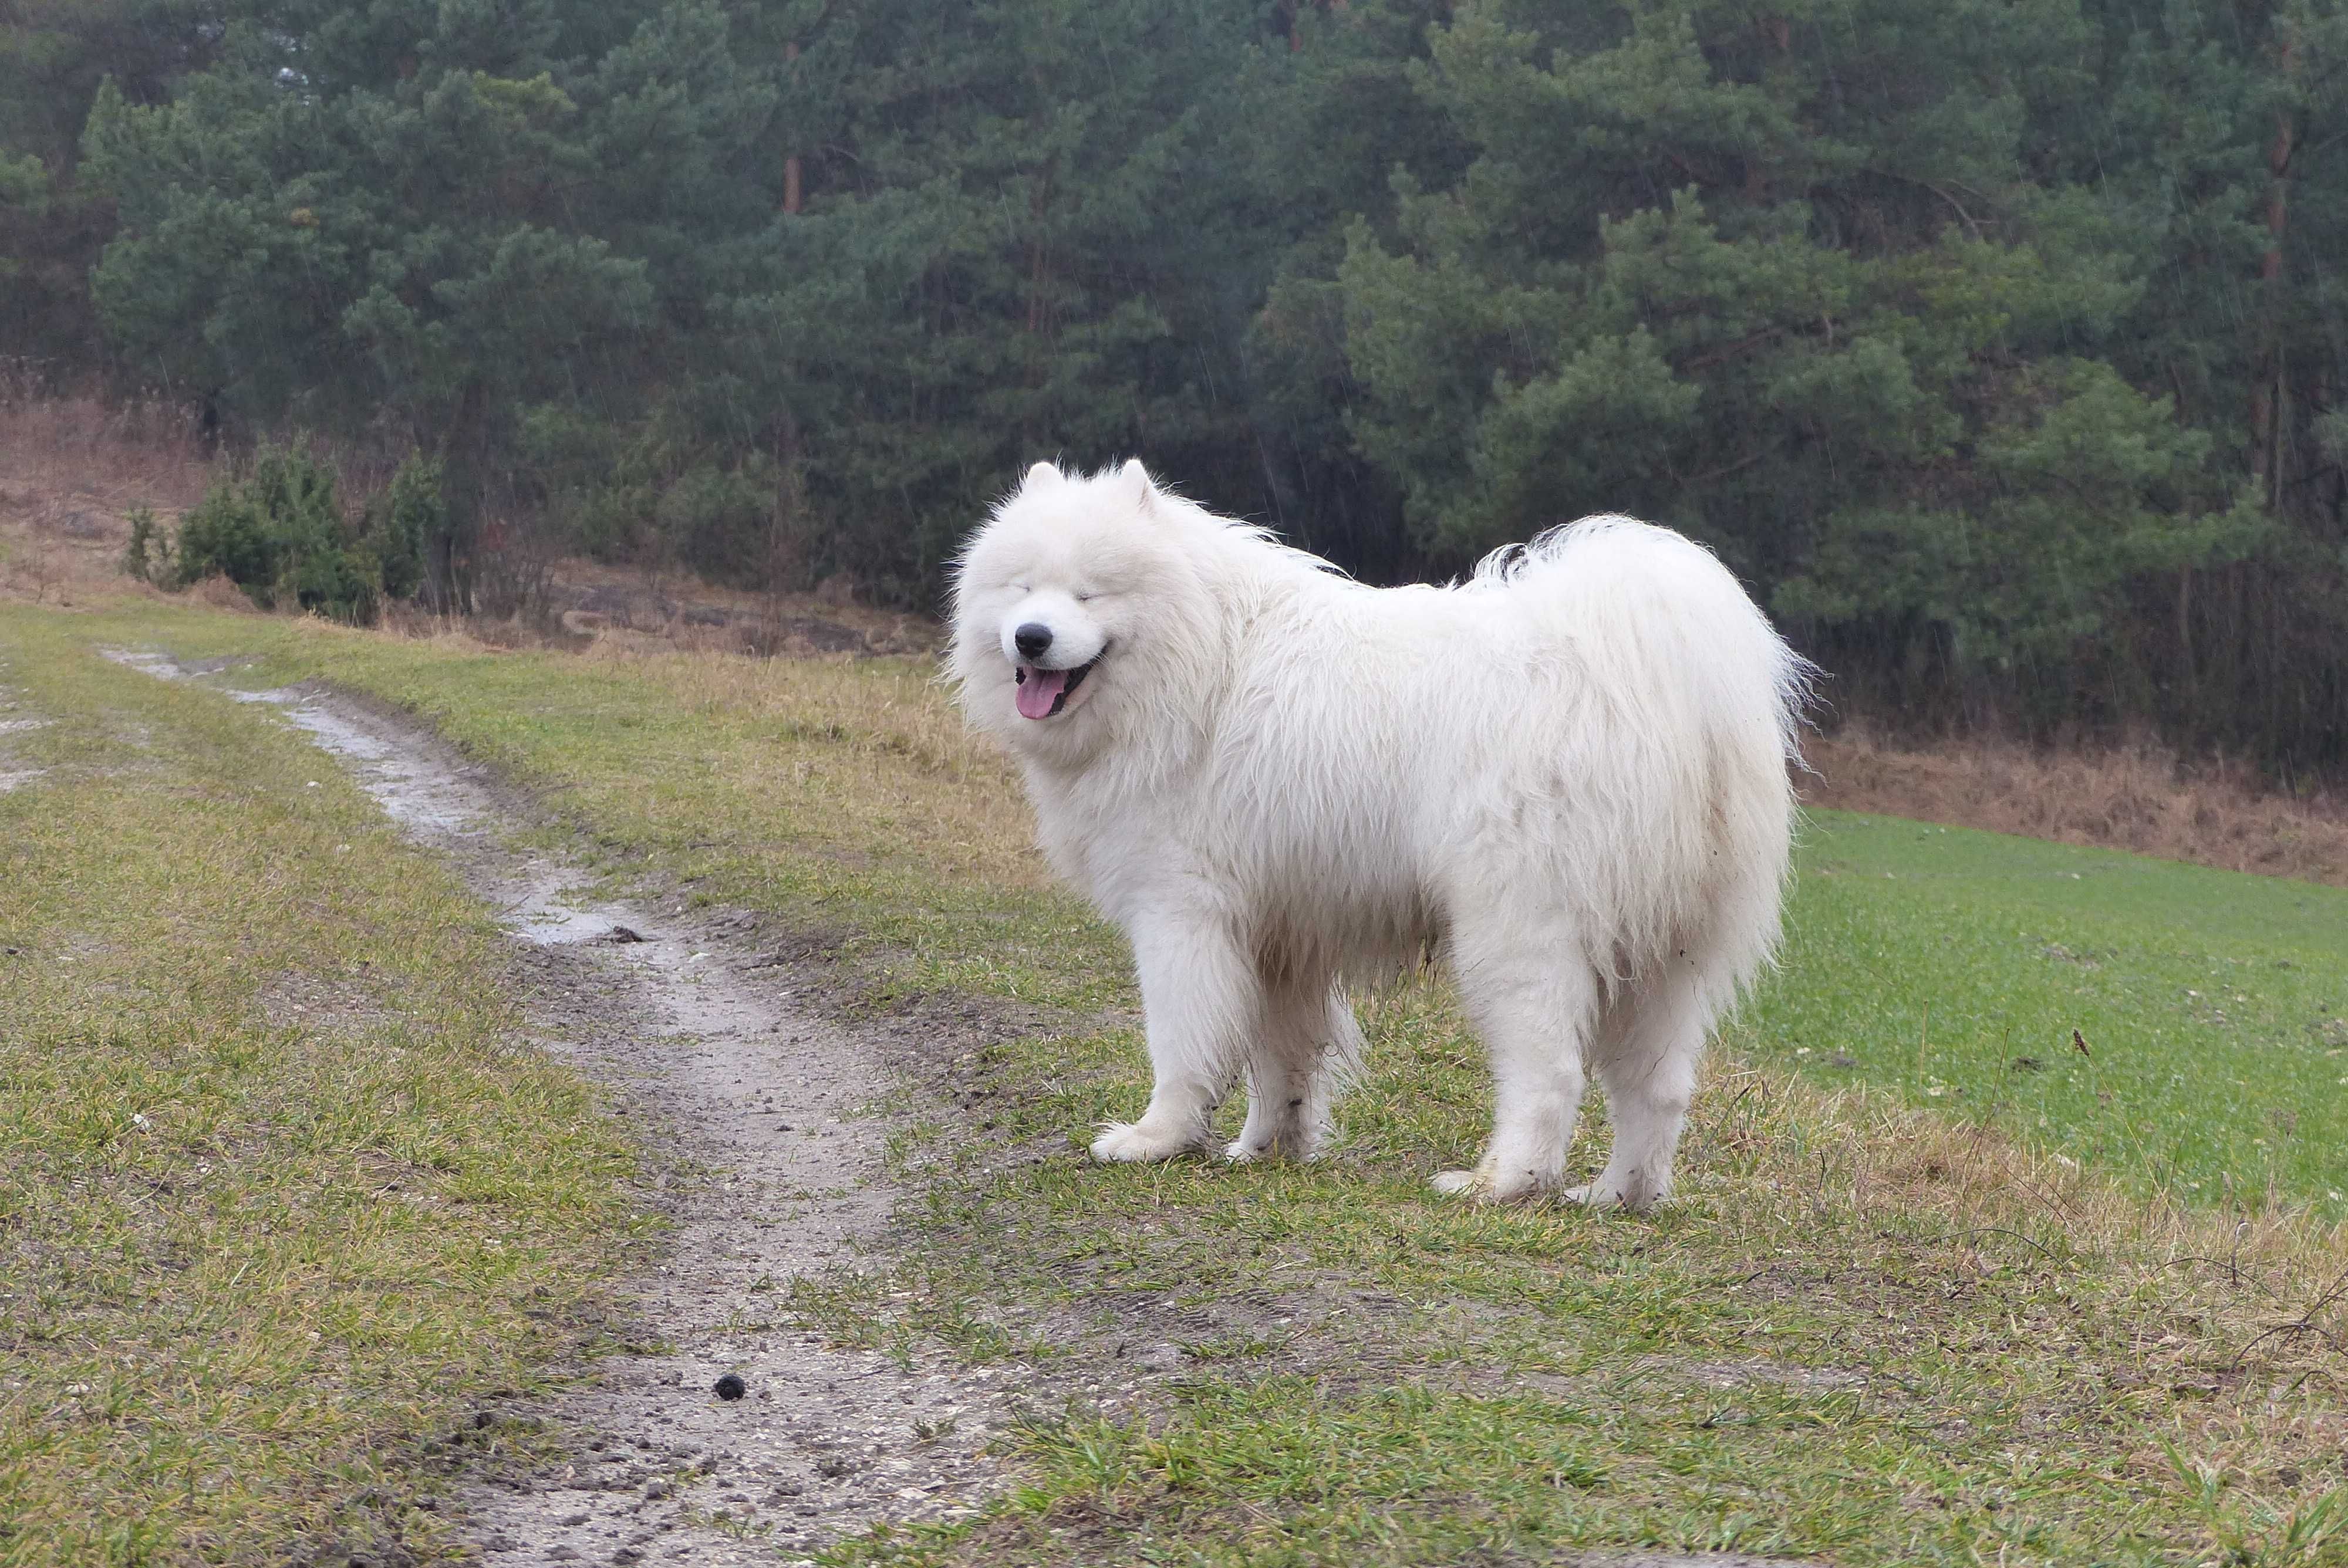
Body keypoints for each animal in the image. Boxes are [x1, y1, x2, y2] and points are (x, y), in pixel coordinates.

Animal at [944, 460, 1803, 1211]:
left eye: (1091, 591)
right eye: (1022, 588)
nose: (1030, 637)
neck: (1203, 659)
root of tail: (1668, 693)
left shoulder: (1180, 913)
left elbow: (1184, 1045)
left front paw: (1156, 1139)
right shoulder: (1280, 934)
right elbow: (1282, 1061)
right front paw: (1267, 1149)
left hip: (1515, 934)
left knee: (1551, 1073)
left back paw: (1501, 1183)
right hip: (1661, 960)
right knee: (1655, 1087)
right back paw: (1618, 1196)